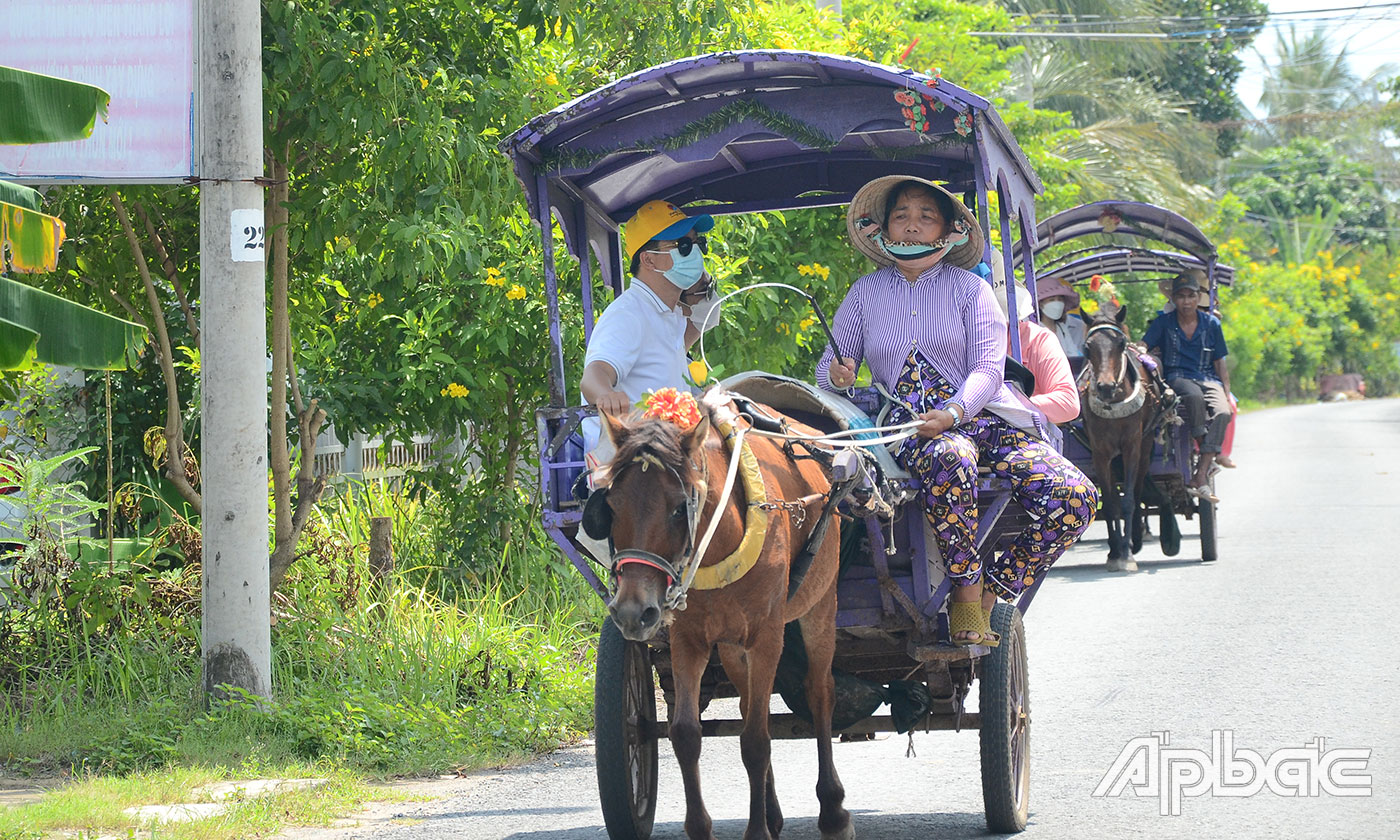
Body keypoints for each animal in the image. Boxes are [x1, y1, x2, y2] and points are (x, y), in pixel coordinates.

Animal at [585, 397, 845, 840]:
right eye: (612, 506)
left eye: (678, 508)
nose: (633, 611)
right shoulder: (688, 640)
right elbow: (686, 734)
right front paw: (702, 827)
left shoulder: (766, 638)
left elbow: (756, 741)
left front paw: (757, 832)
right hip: (729, 645)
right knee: (746, 704)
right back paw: (774, 813)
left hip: (820, 605)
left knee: (820, 692)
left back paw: (831, 809)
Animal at [1080, 305, 1159, 574]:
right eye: (1087, 347)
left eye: (1121, 343)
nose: (1105, 387)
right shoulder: (1100, 453)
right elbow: (1111, 504)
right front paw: (1115, 552)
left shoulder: (1131, 447)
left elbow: (1128, 501)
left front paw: (1127, 554)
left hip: (1145, 447)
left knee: (1137, 489)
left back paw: (1135, 537)